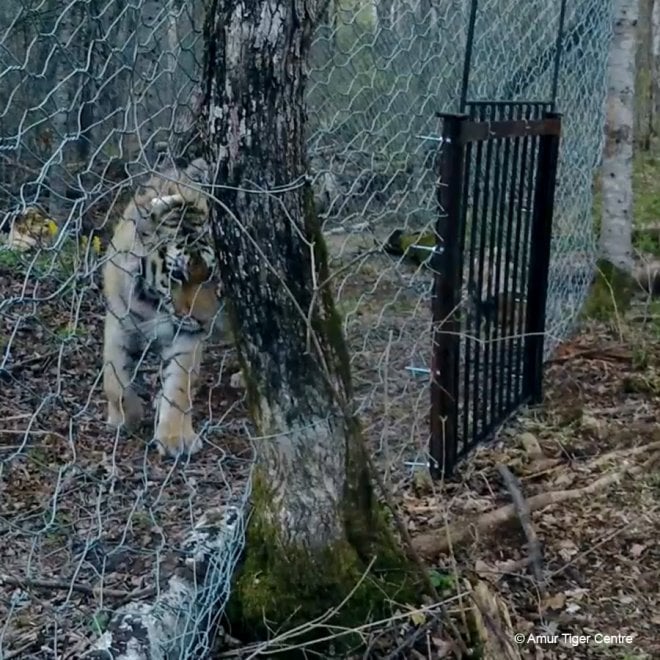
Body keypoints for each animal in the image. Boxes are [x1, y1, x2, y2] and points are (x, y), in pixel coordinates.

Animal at [101, 157, 228, 458]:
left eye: (212, 274)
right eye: (178, 275)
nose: (204, 320)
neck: (155, 303)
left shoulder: (187, 336)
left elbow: (179, 384)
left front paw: (175, 438)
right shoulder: (119, 322)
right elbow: (114, 378)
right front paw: (125, 418)